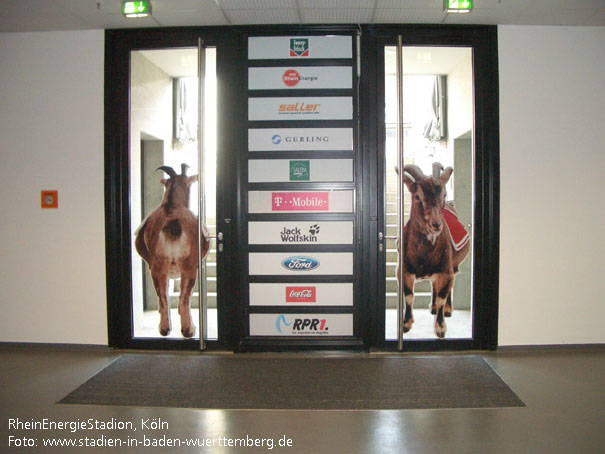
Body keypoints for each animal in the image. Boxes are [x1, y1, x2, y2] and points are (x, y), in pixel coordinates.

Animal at [134, 163, 210, 336]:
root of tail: (172, 226)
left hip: (158, 270)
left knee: (164, 298)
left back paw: (165, 329)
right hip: (188, 269)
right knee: (183, 299)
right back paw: (188, 330)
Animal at [398, 163, 470, 336]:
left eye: (443, 194)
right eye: (417, 196)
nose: (436, 224)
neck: (424, 257)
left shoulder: (446, 270)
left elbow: (442, 296)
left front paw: (440, 328)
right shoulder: (403, 271)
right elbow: (409, 296)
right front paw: (406, 323)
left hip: (451, 265)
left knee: (447, 287)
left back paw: (447, 310)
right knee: (434, 285)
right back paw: (432, 307)